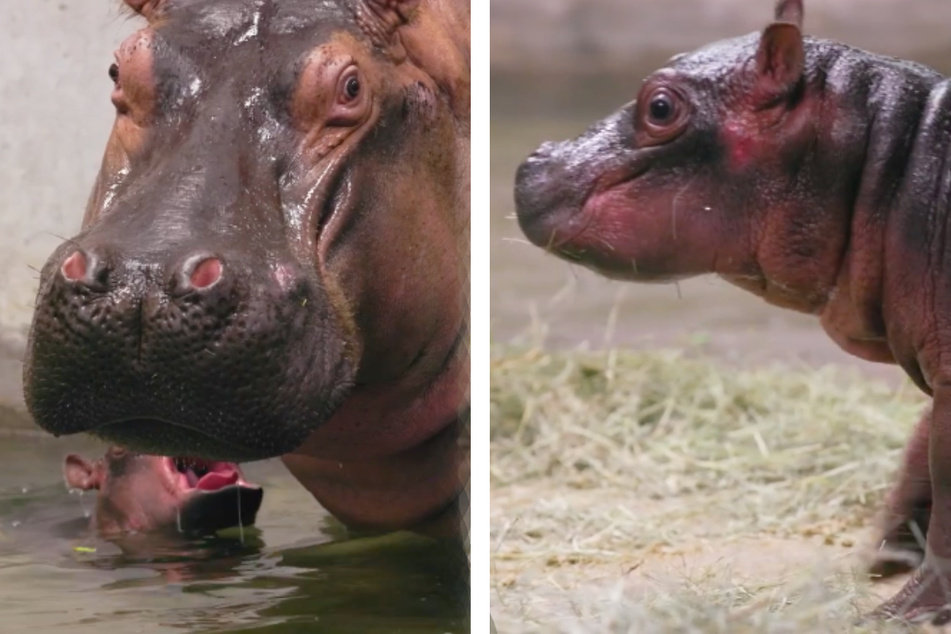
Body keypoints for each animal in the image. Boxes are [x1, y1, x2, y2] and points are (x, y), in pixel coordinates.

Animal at [514, 0, 951, 623]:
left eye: (660, 107)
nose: (533, 160)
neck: (899, 166)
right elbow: (918, 459)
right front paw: (875, 563)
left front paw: (891, 615)